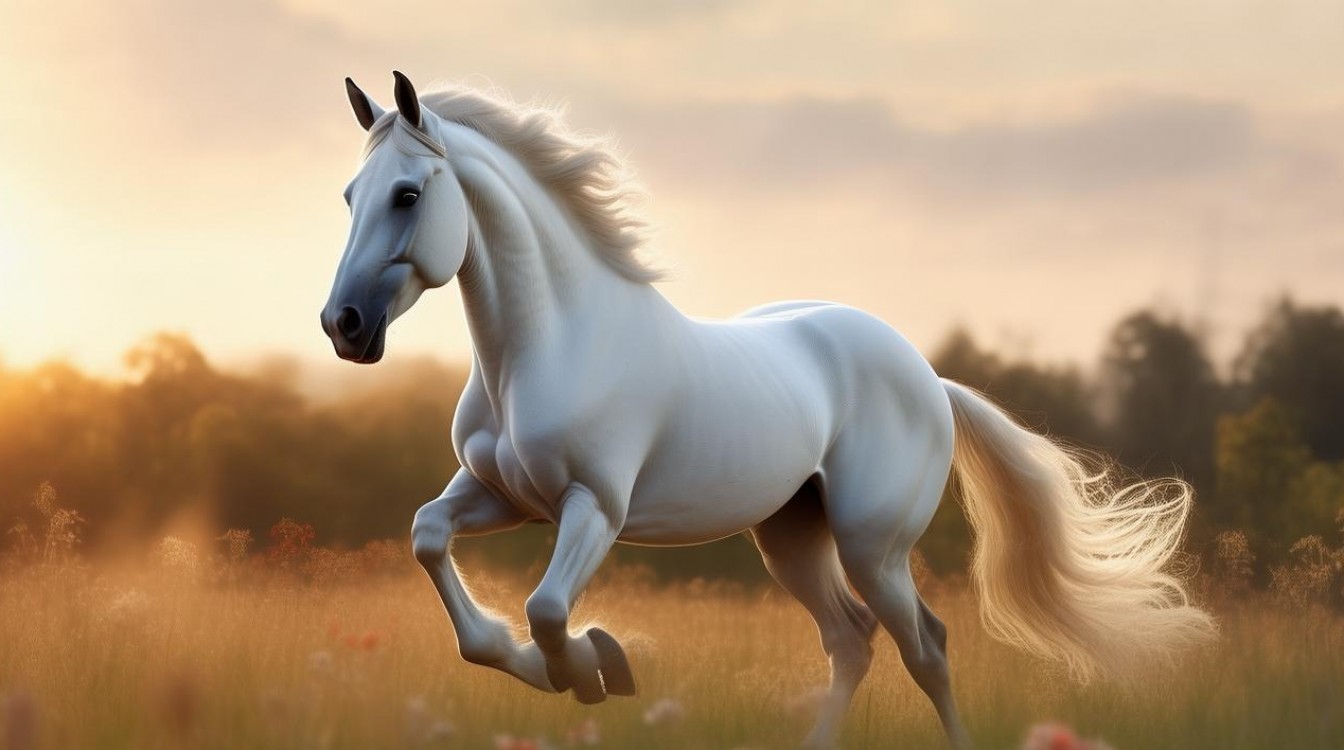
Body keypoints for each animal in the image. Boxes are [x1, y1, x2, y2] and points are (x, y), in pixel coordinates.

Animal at [319, 72, 1215, 750]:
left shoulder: (594, 508)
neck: (552, 343)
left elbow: (544, 612)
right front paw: (582, 662)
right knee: (850, 642)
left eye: (408, 194)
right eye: (351, 195)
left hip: (872, 545)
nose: (343, 325)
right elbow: (433, 547)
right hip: (791, 536)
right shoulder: (501, 497)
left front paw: (598, 666)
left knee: (924, 646)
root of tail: (929, 379)